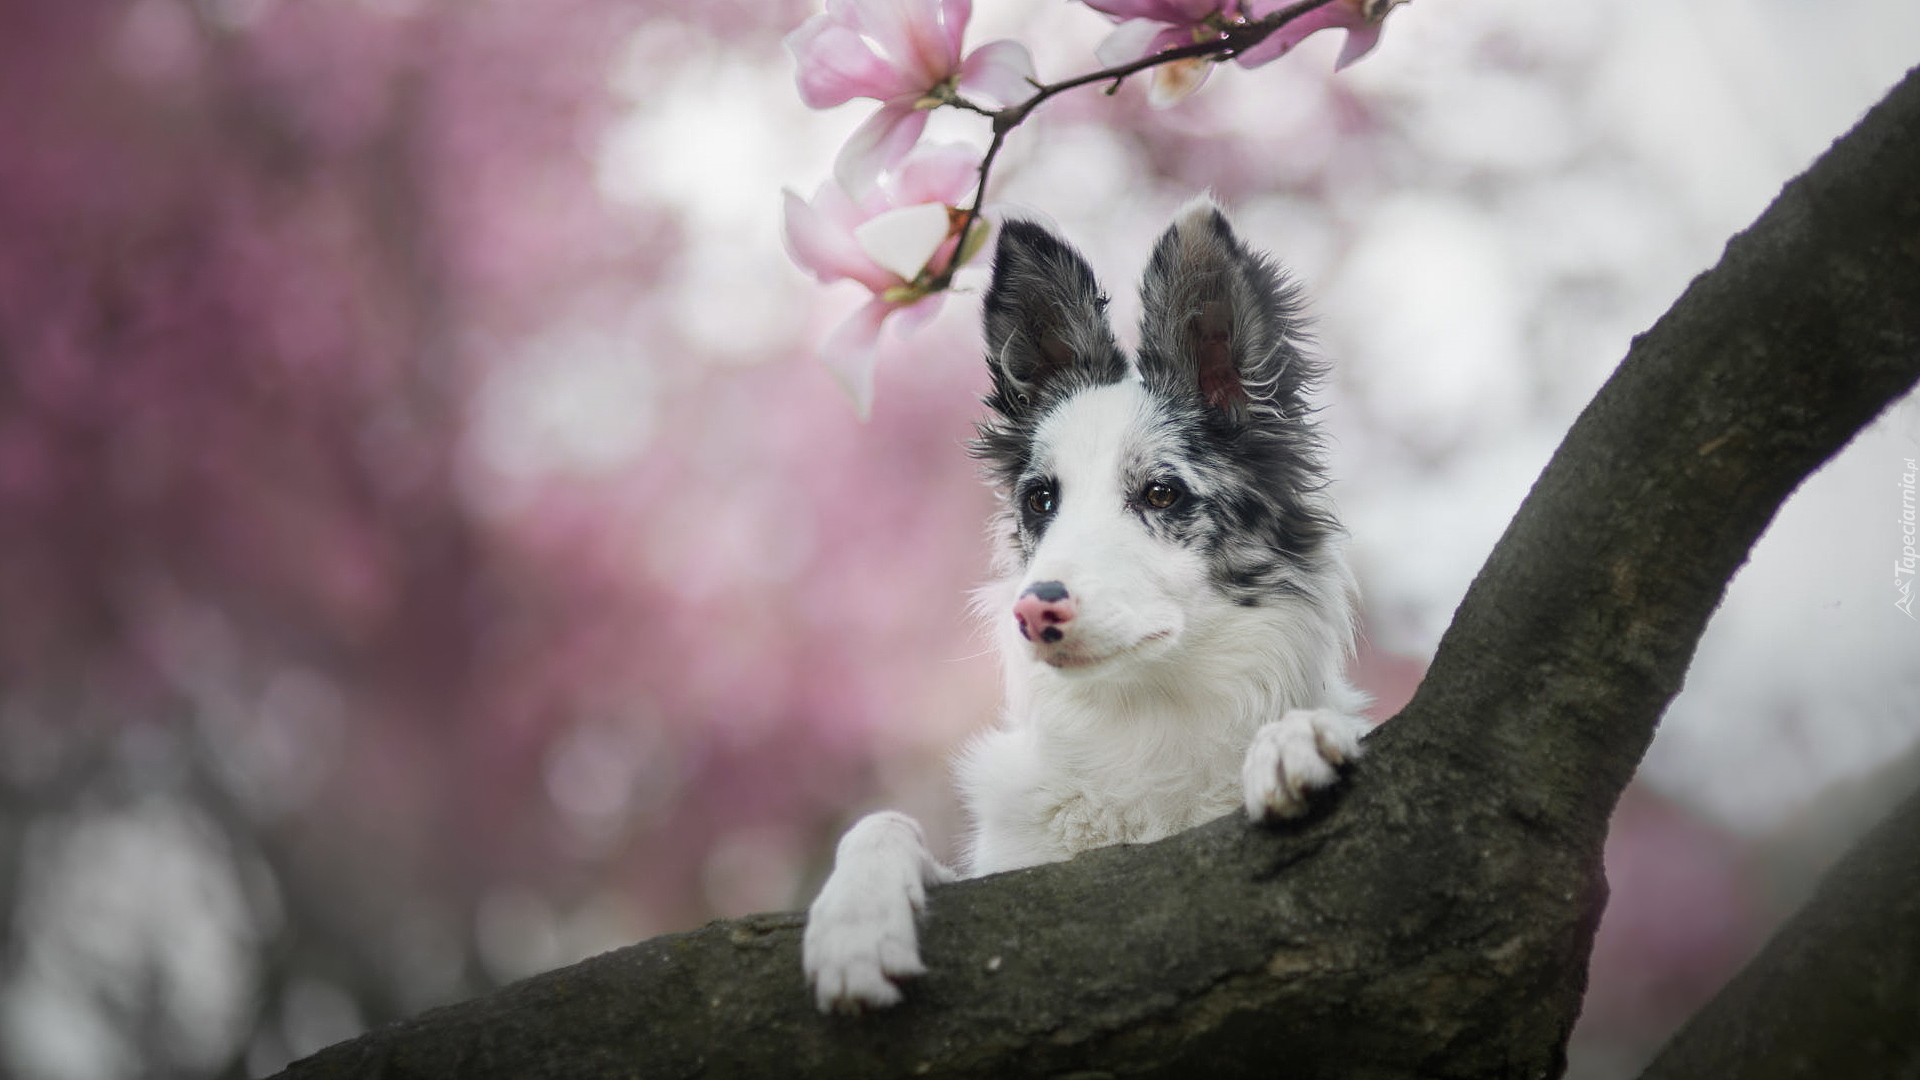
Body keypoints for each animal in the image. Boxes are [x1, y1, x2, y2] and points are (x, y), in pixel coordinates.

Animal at [802, 199, 1374, 1006]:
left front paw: (1296, 737)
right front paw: (854, 925)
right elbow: (881, 824)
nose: (1034, 611)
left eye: (1161, 492)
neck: (1145, 722)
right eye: (1042, 499)